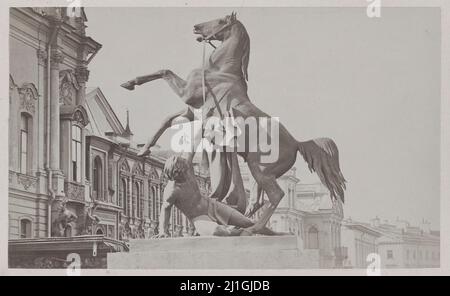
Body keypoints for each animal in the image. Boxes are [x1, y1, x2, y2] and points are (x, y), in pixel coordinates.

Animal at [121, 12, 346, 236]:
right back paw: (241, 223)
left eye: (221, 20)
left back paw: (251, 228)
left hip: (260, 170)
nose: (196, 26)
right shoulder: (192, 111)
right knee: (257, 201)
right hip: (260, 173)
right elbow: (165, 120)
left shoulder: (186, 95)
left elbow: (164, 70)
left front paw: (130, 83)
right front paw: (144, 149)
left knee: (275, 196)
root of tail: (297, 143)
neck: (220, 69)